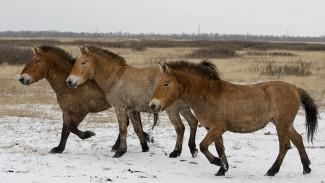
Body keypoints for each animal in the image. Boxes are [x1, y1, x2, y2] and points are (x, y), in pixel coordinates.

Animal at [19, 45, 148, 154]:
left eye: (36, 62)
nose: (22, 79)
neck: (69, 86)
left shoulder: (82, 111)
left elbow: (72, 127)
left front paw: (88, 134)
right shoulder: (66, 112)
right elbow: (65, 131)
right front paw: (59, 148)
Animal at [66, 45, 199, 158]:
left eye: (83, 63)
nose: (69, 81)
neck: (115, 77)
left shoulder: (120, 108)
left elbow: (122, 129)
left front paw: (120, 151)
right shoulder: (132, 110)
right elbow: (137, 128)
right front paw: (144, 147)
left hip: (172, 110)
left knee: (180, 128)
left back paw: (176, 152)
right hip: (183, 108)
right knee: (193, 122)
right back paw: (193, 149)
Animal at [149, 61, 316, 176]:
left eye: (165, 84)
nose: (153, 105)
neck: (208, 94)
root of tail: (295, 88)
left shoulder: (218, 128)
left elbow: (203, 146)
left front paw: (217, 162)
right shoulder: (214, 129)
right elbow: (219, 148)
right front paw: (222, 168)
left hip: (282, 123)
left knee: (285, 145)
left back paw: (272, 170)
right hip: (284, 123)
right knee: (298, 139)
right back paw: (306, 167)